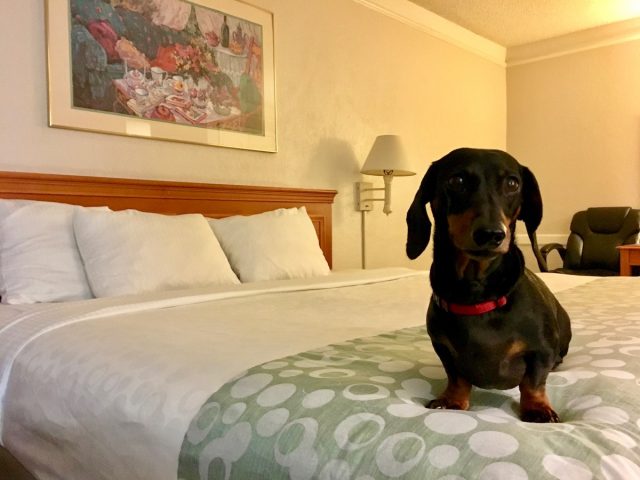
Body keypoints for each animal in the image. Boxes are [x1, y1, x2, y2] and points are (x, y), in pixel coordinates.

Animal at [404, 148, 568, 422]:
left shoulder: (542, 351)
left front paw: (537, 409)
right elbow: (457, 377)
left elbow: (533, 382)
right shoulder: (442, 347)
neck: (476, 294)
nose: (492, 234)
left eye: (512, 183)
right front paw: (452, 400)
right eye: (456, 180)